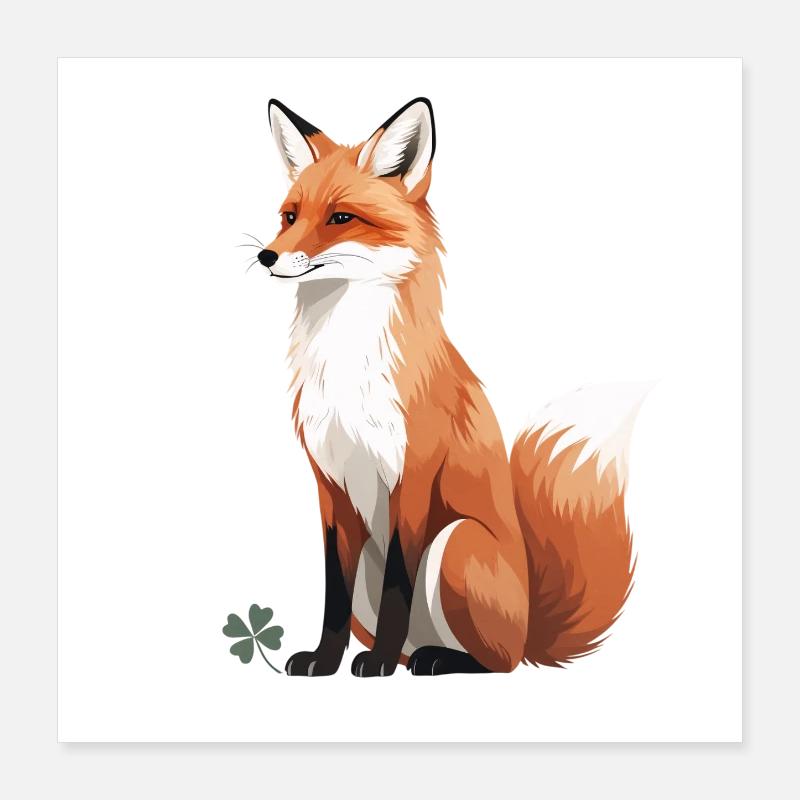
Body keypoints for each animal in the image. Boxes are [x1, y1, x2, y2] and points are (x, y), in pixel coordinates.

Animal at [256, 97, 649, 676]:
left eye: (340, 218)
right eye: (289, 216)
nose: (266, 256)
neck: (346, 368)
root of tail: (530, 629)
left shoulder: (413, 475)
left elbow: (399, 582)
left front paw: (375, 664)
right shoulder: (329, 485)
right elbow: (333, 592)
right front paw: (324, 661)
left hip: (456, 541)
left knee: (497, 661)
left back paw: (431, 660)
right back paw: (408, 656)